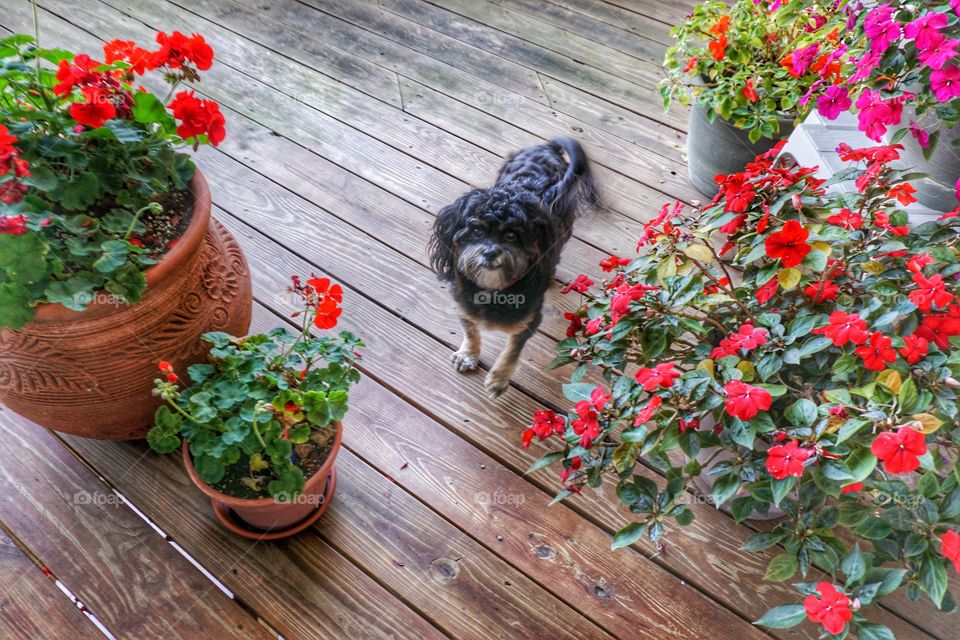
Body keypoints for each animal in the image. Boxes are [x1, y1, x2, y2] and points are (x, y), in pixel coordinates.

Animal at [430, 139, 596, 398]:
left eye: (511, 235)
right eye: (476, 230)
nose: (490, 252)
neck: (492, 290)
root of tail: (546, 147)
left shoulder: (530, 320)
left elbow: (512, 351)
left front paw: (498, 379)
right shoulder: (463, 305)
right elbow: (471, 331)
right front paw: (468, 355)